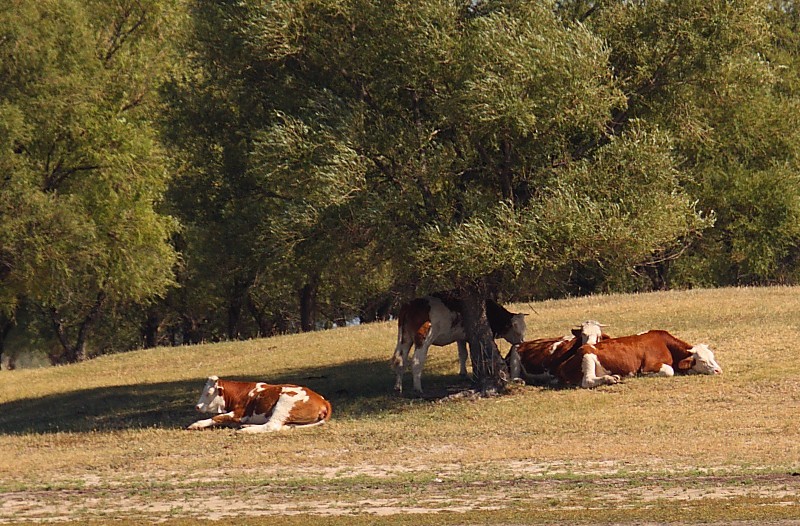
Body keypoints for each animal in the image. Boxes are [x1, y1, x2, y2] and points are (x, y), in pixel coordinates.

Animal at [188, 378, 332, 436]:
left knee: (272, 426)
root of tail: (322, 400)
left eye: (208, 393)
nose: (197, 407)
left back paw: (245, 430)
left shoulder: (240, 414)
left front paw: (196, 424)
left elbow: (218, 417)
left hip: (284, 404)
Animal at [392, 292, 524, 396]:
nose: (522, 342)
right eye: (517, 331)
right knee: (416, 362)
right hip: (423, 340)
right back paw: (418, 388)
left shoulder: (461, 338)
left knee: (400, 360)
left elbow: (463, 355)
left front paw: (463, 373)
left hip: (404, 339)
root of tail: (410, 305)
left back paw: (398, 387)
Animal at [556, 332, 724, 390]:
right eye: (702, 360)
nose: (718, 370)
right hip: (587, 355)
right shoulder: (650, 364)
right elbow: (668, 371)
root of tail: (562, 365)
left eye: (713, 357)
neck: (664, 343)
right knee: (588, 381)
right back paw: (610, 379)